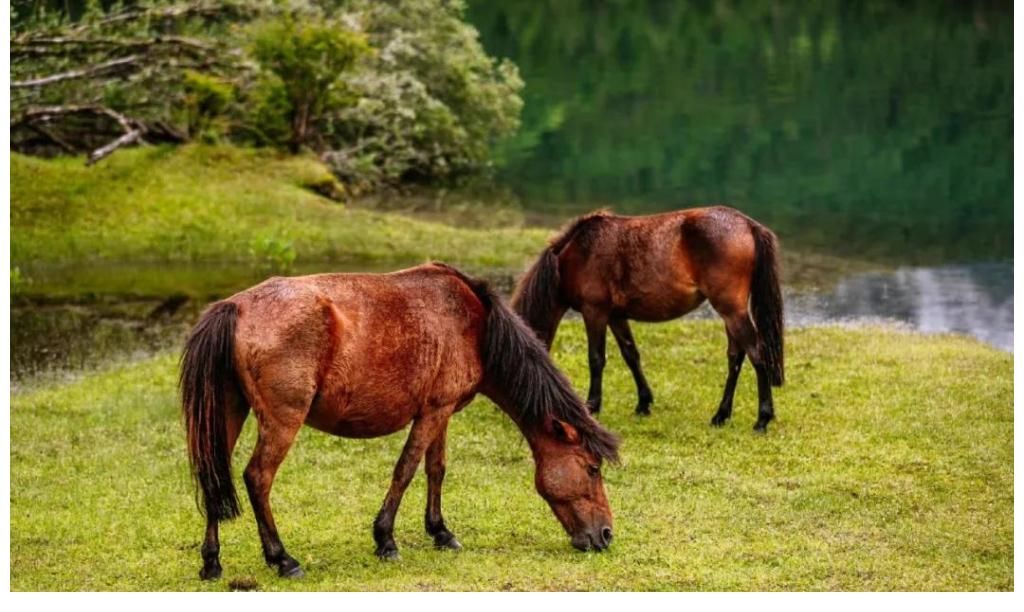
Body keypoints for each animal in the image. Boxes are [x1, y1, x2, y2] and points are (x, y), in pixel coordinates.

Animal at [180, 260, 618, 581]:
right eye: (592, 468)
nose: (606, 534)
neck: (474, 322)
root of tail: (235, 307)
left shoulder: (441, 412)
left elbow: (436, 469)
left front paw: (440, 531)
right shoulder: (433, 412)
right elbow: (406, 469)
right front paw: (386, 539)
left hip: (225, 414)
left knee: (213, 476)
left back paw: (212, 562)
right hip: (282, 421)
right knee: (257, 478)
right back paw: (282, 558)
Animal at [512, 208, 782, 433]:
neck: (578, 254)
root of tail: (747, 224)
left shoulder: (595, 312)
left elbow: (596, 359)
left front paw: (592, 406)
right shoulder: (616, 316)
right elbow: (631, 355)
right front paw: (644, 403)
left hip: (732, 310)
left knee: (756, 354)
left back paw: (762, 419)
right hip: (730, 313)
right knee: (735, 357)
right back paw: (721, 415)